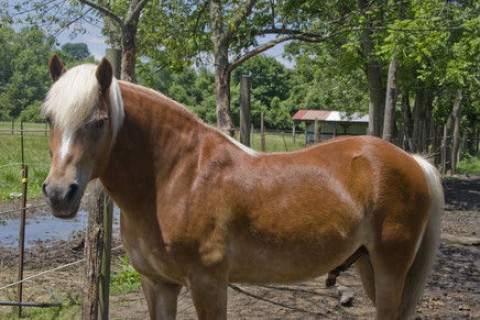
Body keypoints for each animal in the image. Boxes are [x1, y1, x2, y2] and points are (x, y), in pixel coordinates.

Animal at [41, 56, 442, 318]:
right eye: (48, 119)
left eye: (99, 121)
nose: (60, 193)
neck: (177, 178)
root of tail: (413, 161)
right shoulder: (157, 284)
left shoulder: (209, 283)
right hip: (369, 265)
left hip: (390, 269)